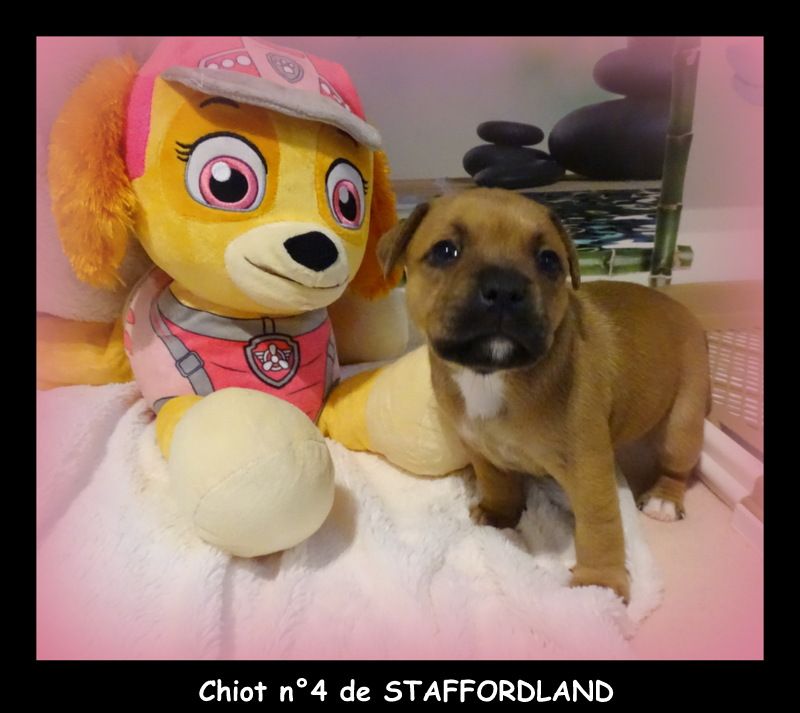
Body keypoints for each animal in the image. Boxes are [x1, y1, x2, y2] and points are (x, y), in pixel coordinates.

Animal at [378, 188, 710, 601]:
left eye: (548, 260)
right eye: (445, 251)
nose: (505, 288)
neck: (493, 375)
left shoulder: (588, 469)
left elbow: (599, 526)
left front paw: (600, 584)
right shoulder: (481, 449)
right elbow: (497, 483)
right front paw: (500, 514)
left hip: (683, 422)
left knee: (677, 465)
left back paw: (665, 498)